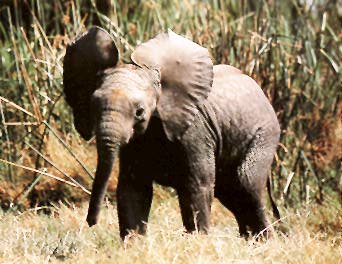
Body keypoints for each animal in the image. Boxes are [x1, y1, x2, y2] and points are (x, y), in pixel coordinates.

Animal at [62, 26, 280, 239]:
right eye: (93, 106)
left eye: (139, 111)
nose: (91, 222)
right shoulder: (137, 141)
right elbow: (133, 188)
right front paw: (133, 243)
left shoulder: (195, 132)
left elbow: (196, 185)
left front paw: (198, 241)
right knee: (230, 192)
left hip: (264, 135)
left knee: (245, 185)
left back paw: (265, 240)